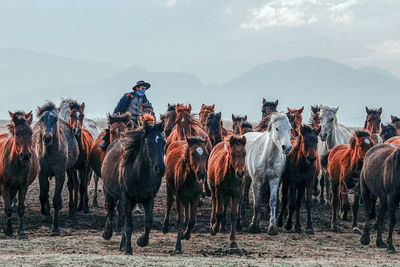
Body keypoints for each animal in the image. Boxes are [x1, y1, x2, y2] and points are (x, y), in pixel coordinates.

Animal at [0, 111, 38, 239]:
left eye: (31, 132)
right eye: (16, 133)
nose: (25, 155)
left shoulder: (23, 186)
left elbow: (20, 208)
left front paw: (21, 232)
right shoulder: (4, 186)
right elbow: (8, 208)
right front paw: (9, 230)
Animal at [33, 102, 79, 237]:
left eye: (55, 119)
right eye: (42, 119)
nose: (47, 138)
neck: (50, 154)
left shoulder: (60, 175)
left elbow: (57, 200)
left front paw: (55, 228)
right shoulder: (42, 174)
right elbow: (43, 195)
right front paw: (45, 213)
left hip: (70, 169)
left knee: (71, 185)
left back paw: (71, 209)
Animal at [103, 121, 167, 255]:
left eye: (164, 142)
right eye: (148, 142)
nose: (160, 168)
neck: (139, 175)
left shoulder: (149, 199)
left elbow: (148, 222)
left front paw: (141, 241)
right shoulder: (126, 198)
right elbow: (128, 225)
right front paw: (128, 249)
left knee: (121, 216)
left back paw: (122, 244)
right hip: (109, 193)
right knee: (111, 211)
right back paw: (107, 234)